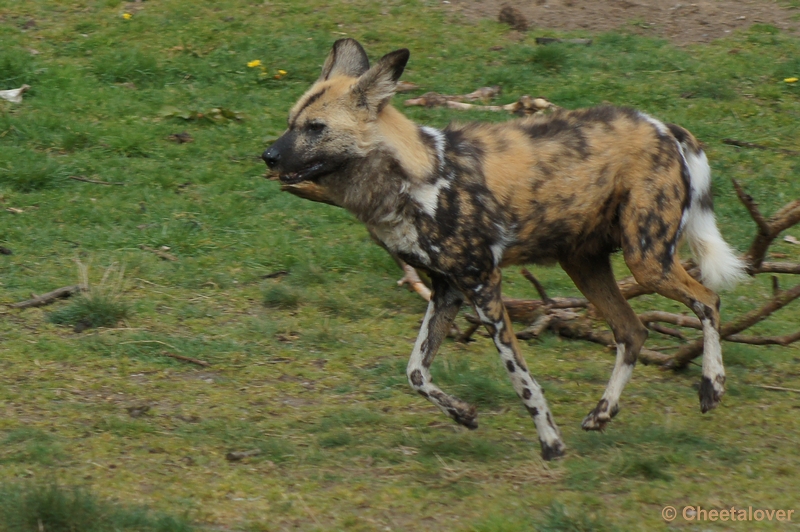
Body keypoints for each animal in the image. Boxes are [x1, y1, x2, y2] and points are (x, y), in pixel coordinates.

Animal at [266, 39, 748, 460]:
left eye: (316, 129)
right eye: (291, 122)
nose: (268, 156)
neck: (410, 181)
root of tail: (665, 127)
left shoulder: (483, 286)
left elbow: (521, 379)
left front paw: (551, 444)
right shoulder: (447, 290)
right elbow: (415, 371)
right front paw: (463, 414)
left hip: (646, 261)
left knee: (708, 300)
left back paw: (712, 387)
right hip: (584, 263)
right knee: (632, 331)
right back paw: (601, 414)